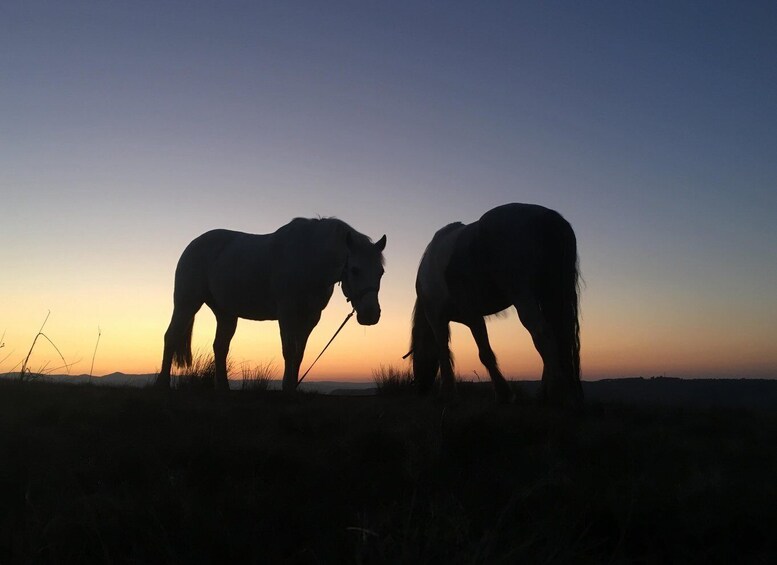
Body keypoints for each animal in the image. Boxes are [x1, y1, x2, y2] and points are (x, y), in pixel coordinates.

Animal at [156, 217, 386, 392]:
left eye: (381, 272)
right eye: (355, 269)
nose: (370, 315)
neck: (308, 258)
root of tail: (194, 244)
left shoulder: (310, 318)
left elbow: (299, 354)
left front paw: (292, 388)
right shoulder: (287, 314)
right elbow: (289, 351)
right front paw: (287, 388)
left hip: (225, 313)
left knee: (220, 347)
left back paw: (223, 388)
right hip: (186, 304)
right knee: (171, 336)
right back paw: (163, 384)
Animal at [410, 205, 580, 404]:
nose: (419, 389)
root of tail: (547, 217)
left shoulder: (444, 318)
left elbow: (461, 352)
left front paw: (452, 394)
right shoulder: (471, 316)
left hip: (524, 297)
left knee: (542, 333)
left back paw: (556, 390)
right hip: (550, 296)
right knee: (557, 334)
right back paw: (547, 393)